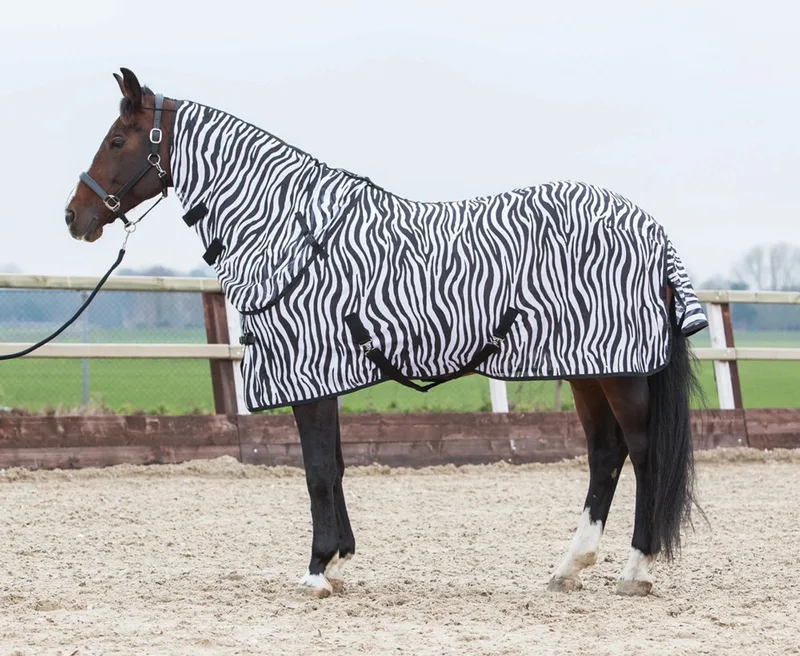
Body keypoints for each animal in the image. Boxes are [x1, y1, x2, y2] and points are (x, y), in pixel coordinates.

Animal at [65, 67, 707, 599]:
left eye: (117, 140)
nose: (75, 217)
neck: (288, 229)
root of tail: (651, 228)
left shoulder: (308, 373)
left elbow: (318, 470)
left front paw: (317, 571)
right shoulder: (320, 377)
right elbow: (335, 465)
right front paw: (339, 560)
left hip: (621, 373)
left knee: (643, 453)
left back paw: (636, 570)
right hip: (587, 369)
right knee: (605, 454)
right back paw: (569, 567)